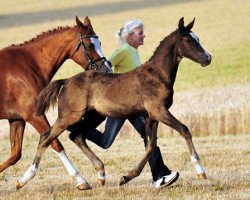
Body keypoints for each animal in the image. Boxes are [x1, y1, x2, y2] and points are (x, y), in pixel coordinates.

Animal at [0, 15, 110, 189]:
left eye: (100, 43)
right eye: (90, 45)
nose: (106, 69)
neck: (30, 65)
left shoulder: (17, 119)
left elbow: (15, 155)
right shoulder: (34, 116)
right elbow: (54, 143)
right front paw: (81, 181)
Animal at [19, 17, 211, 189]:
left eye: (198, 38)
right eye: (188, 39)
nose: (208, 58)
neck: (157, 75)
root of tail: (66, 81)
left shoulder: (151, 116)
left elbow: (151, 145)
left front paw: (127, 177)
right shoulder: (159, 111)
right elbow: (184, 130)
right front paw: (200, 171)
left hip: (95, 116)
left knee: (77, 136)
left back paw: (100, 174)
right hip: (69, 116)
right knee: (46, 137)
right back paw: (23, 180)